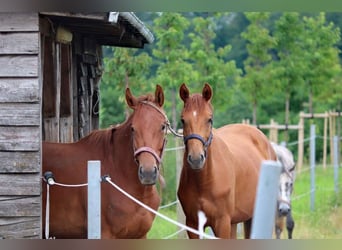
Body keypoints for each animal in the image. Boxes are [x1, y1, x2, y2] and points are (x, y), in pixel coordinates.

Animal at [178, 83, 276, 238]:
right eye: (183, 120)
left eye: (209, 119)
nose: (196, 158)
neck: (204, 181)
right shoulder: (192, 224)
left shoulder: (222, 223)